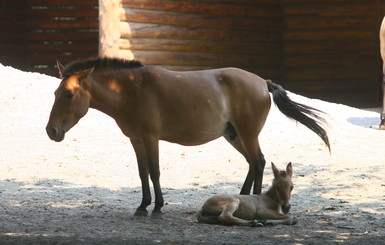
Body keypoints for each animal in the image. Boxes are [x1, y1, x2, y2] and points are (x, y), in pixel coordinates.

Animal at [44, 57, 328, 214]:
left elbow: (155, 171)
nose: (51, 131)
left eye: (69, 94)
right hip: (235, 136)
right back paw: (242, 196)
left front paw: (157, 206)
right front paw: (142, 205)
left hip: (247, 134)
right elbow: (143, 172)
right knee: (252, 163)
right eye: (55, 93)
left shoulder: (150, 137)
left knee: (258, 162)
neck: (131, 89)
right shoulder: (136, 140)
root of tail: (262, 82)